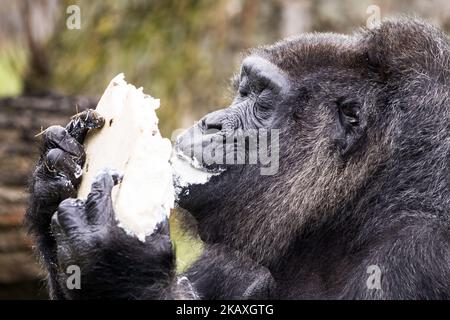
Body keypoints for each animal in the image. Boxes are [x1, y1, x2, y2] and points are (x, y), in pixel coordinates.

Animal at [25, 19, 450, 300]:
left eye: (263, 99)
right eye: (244, 90)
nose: (212, 122)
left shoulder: (414, 258)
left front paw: (119, 260)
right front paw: (56, 172)